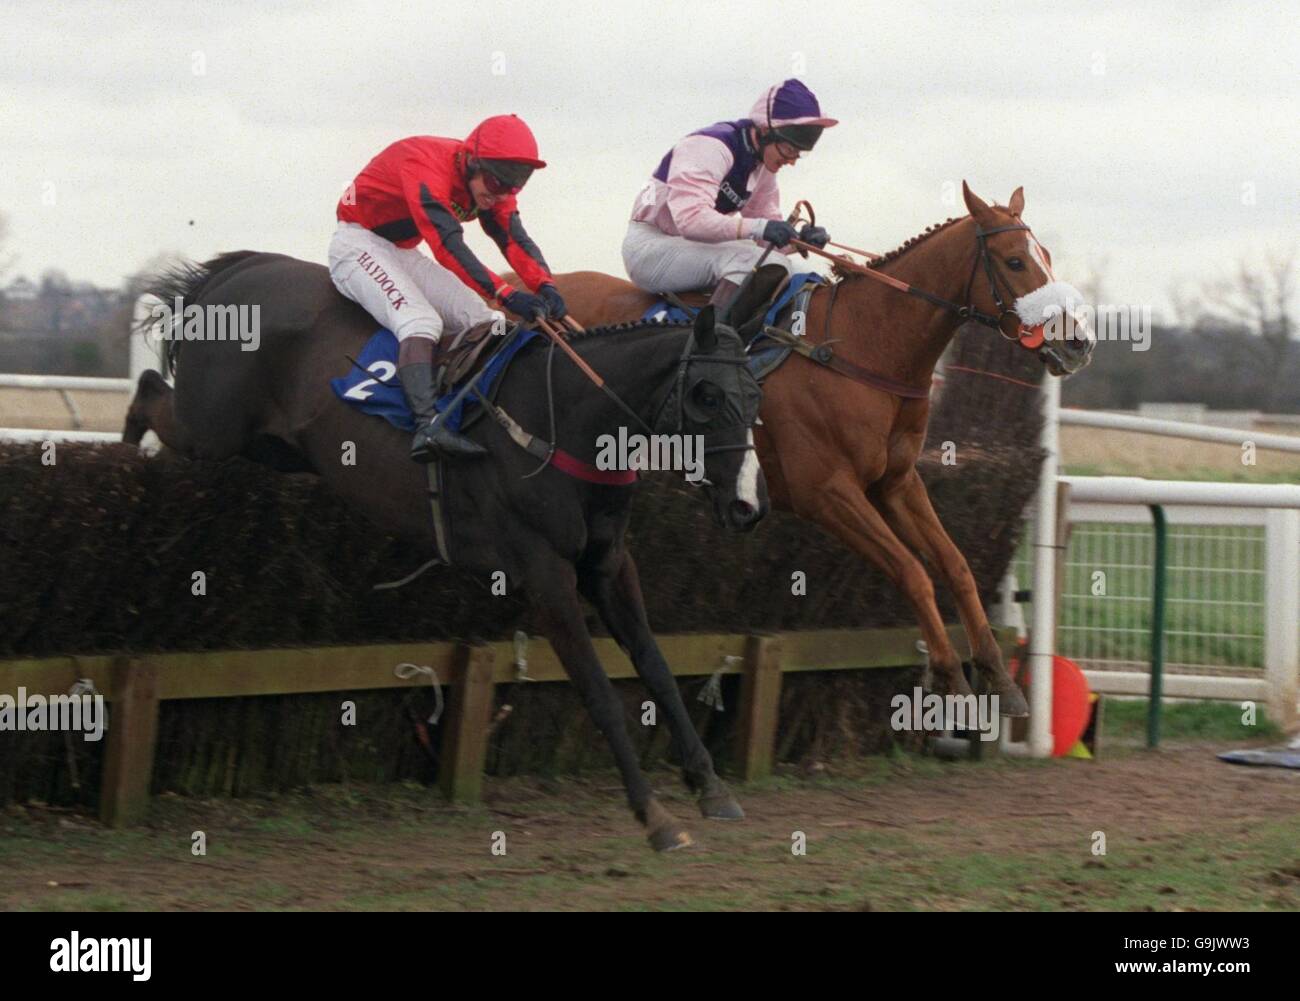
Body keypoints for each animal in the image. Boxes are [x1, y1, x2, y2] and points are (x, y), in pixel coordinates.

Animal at [119, 252, 769, 852]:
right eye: (707, 396)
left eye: (756, 391)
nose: (747, 506)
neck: (567, 419)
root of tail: (237, 270)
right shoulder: (545, 574)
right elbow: (601, 692)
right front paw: (655, 817)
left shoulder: (608, 564)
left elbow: (657, 667)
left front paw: (711, 786)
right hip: (211, 427)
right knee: (149, 394)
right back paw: (129, 469)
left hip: (269, 448)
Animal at [512, 184, 1092, 717]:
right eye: (1015, 260)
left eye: (1045, 255)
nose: (1077, 342)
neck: (859, 348)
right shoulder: (826, 493)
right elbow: (913, 571)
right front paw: (950, 677)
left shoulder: (896, 483)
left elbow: (955, 565)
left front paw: (998, 677)